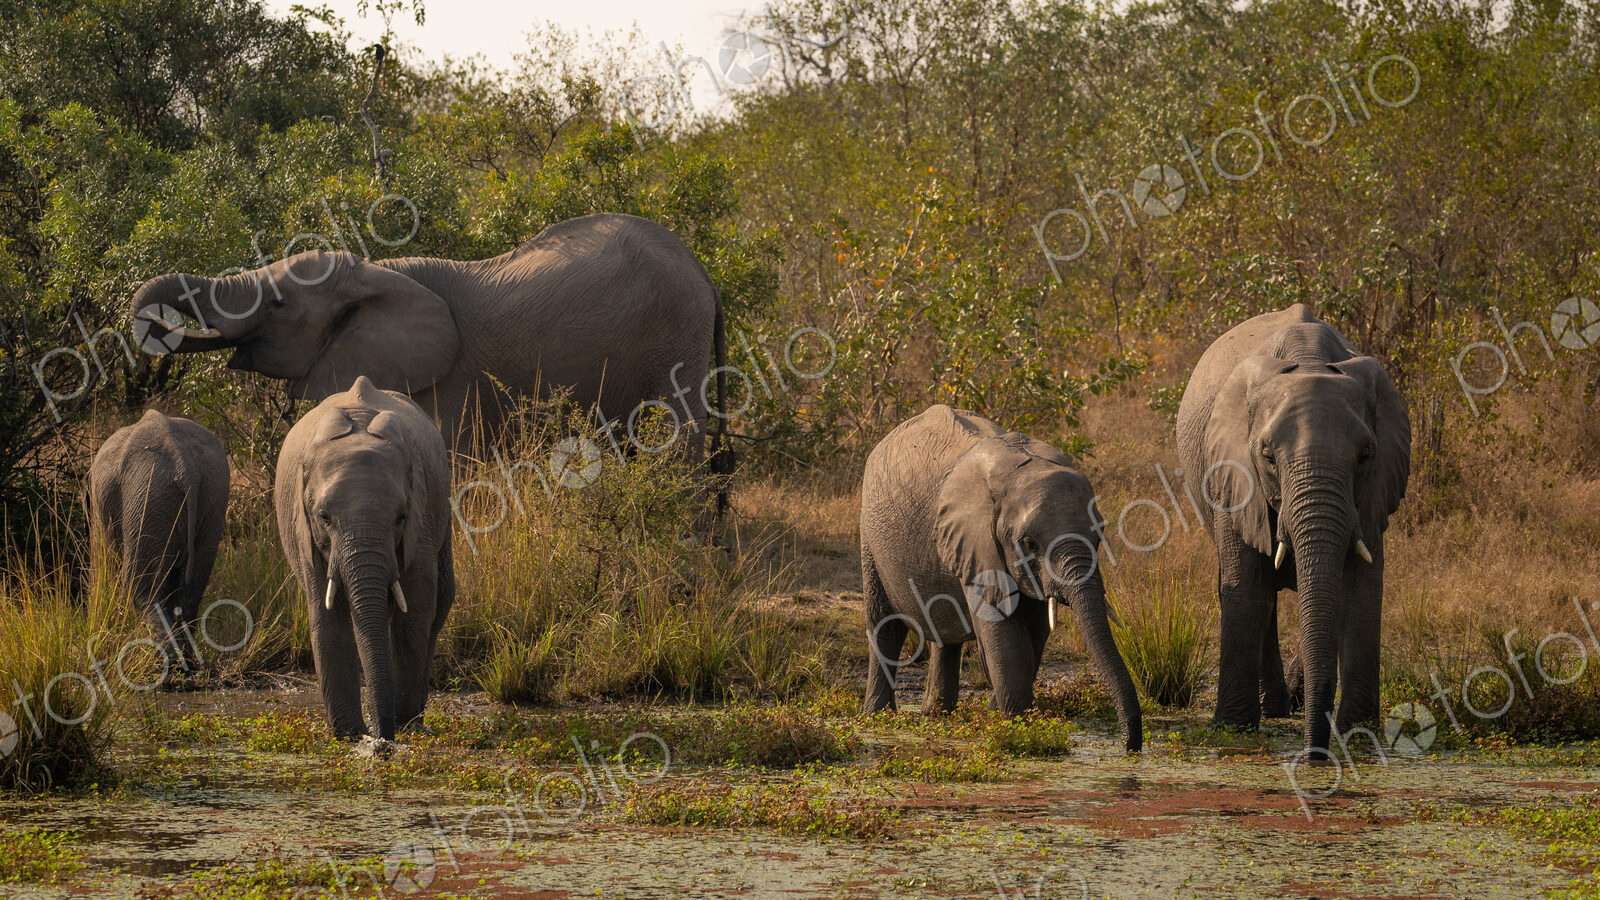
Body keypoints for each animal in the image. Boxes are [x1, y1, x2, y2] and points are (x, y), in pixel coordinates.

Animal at [86, 409, 229, 676]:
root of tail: (187, 469)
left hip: (147, 497)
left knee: (141, 586)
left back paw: (171, 667)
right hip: (213, 495)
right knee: (192, 588)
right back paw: (188, 661)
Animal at [276, 376, 454, 741]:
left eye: (401, 517)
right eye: (324, 518)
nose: (381, 739)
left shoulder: (422, 523)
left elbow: (415, 610)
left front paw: (403, 726)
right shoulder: (308, 536)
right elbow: (326, 617)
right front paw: (348, 736)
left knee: (441, 601)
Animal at [859, 404, 1143, 751]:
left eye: (1099, 535)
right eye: (1030, 544)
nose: (1130, 748)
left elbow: (1035, 633)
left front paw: (1001, 716)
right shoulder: (978, 543)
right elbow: (1005, 634)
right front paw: (1018, 729)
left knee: (945, 634)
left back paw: (937, 715)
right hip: (870, 536)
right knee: (886, 627)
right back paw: (878, 719)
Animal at [1176, 303, 1410, 754]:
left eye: (1365, 455)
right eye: (1267, 455)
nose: (1315, 753)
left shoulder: (1371, 494)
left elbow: (1362, 590)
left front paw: (1359, 733)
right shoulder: (1235, 473)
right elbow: (1246, 587)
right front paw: (1233, 729)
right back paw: (1277, 709)